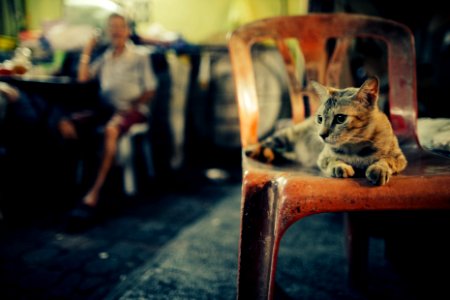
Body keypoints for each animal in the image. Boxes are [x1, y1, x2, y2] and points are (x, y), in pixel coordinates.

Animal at [246, 76, 408, 185]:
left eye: (340, 118)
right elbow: (331, 159)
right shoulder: (322, 157)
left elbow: (386, 160)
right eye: (320, 118)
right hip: (286, 136)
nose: (321, 135)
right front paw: (339, 166)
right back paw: (255, 150)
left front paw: (379, 168)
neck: (356, 147)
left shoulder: (399, 157)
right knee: (267, 143)